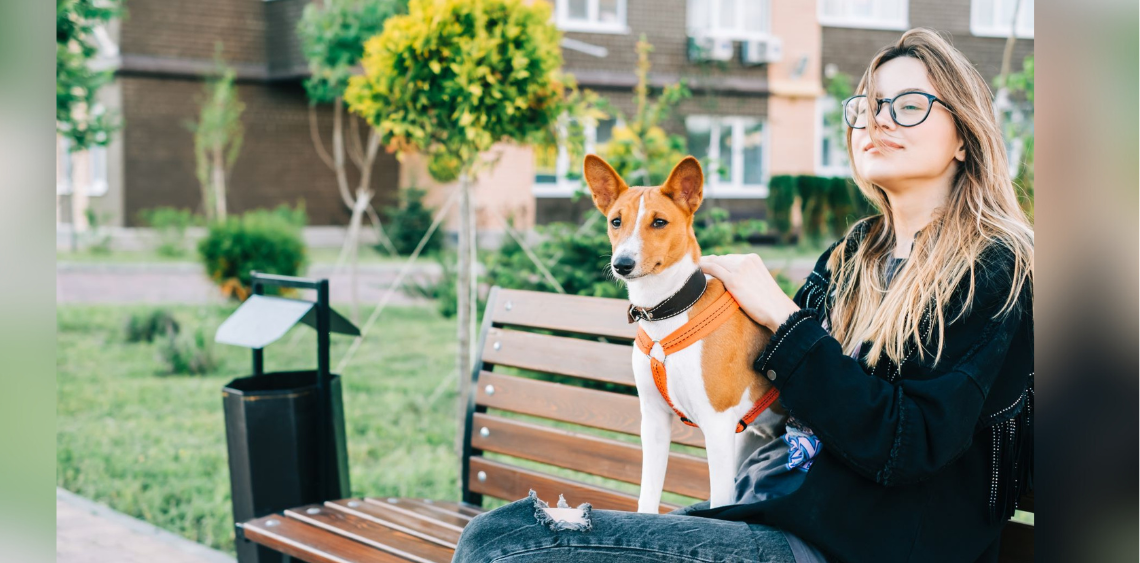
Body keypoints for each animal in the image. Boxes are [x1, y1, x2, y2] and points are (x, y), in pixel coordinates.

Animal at [583, 154, 788, 513]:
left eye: (659, 222)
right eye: (615, 221)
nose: (622, 264)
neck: (666, 312)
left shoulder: (718, 427)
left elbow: (719, 505)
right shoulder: (653, 421)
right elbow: (648, 495)